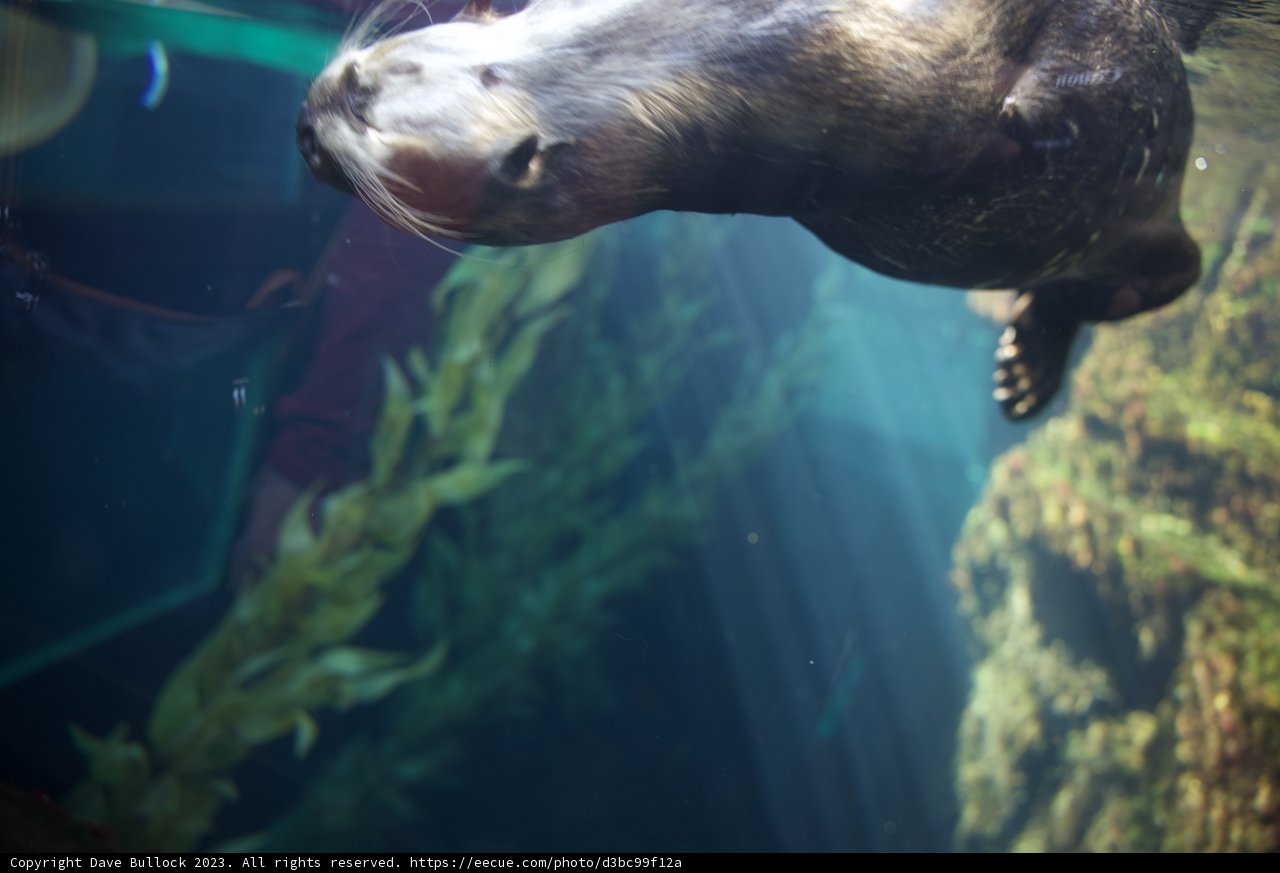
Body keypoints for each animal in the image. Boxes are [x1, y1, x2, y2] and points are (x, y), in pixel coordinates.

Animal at [296, 0, 1202, 420]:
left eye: (361, 102)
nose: (305, 127)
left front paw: (1045, 113)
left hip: (1153, 235)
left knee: (1168, 274)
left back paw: (1031, 363)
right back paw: (1024, 363)